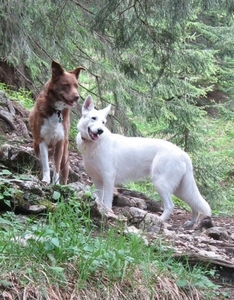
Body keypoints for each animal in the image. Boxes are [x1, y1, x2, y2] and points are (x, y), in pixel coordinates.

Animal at [76, 95, 211, 225]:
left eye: (103, 122)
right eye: (93, 118)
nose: (100, 131)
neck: (93, 145)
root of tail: (183, 154)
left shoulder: (108, 177)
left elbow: (107, 200)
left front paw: (107, 212)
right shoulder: (97, 179)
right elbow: (99, 199)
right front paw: (100, 209)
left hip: (160, 183)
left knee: (170, 206)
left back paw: (159, 220)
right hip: (180, 189)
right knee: (194, 206)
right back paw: (191, 223)